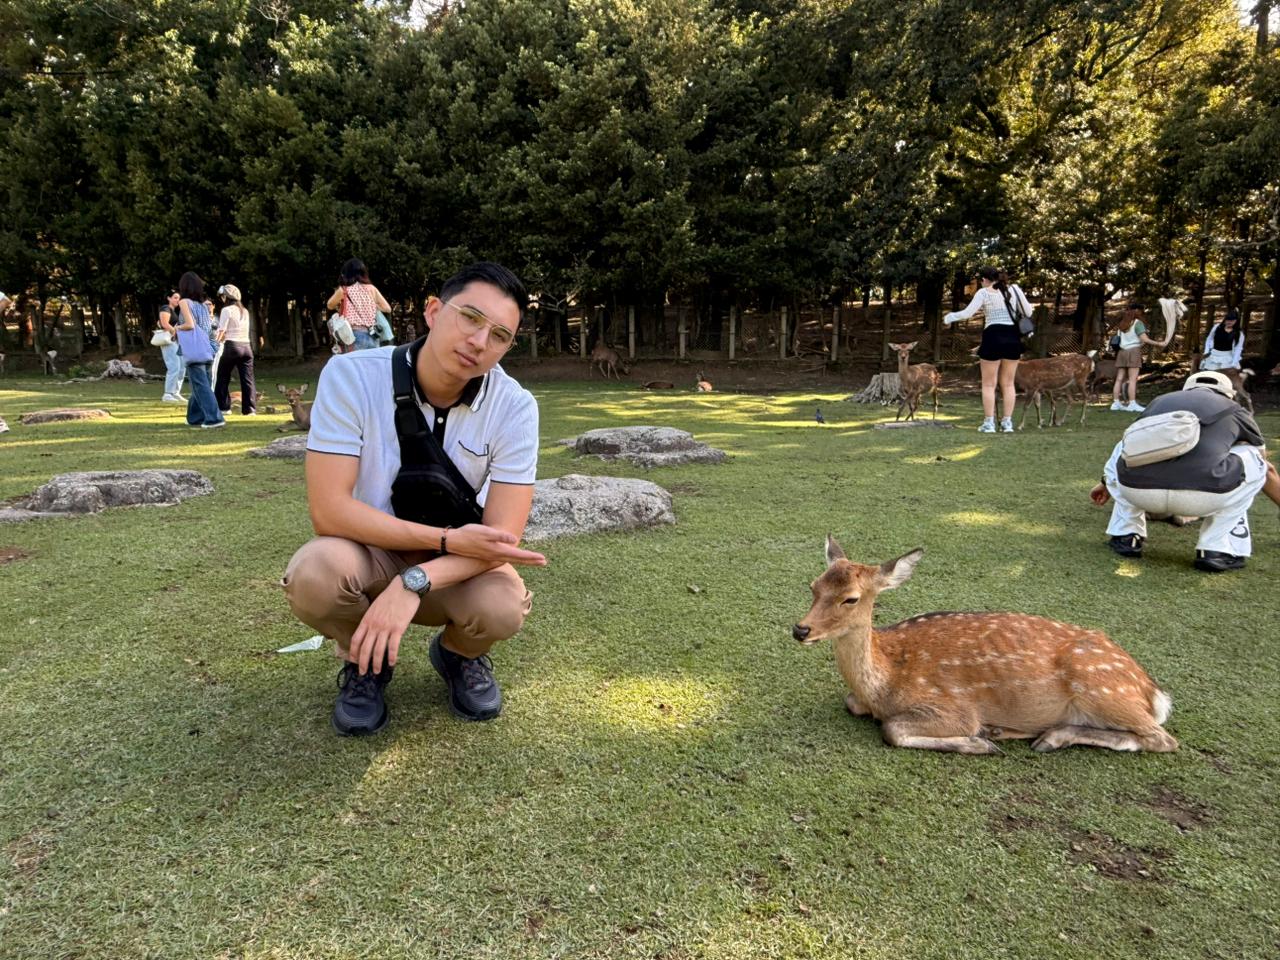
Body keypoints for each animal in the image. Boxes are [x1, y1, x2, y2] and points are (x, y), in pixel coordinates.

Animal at [792, 536, 1177, 755]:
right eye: (813, 586)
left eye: (851, 598)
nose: (801, 629)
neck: (884, 684)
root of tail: (1153, 691)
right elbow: (851, 703)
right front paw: (986, 737)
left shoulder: (952, 707)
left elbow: (893, 729)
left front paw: (978, 742)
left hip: (1103, 690)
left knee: (1160, 739)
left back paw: (1044, 738)